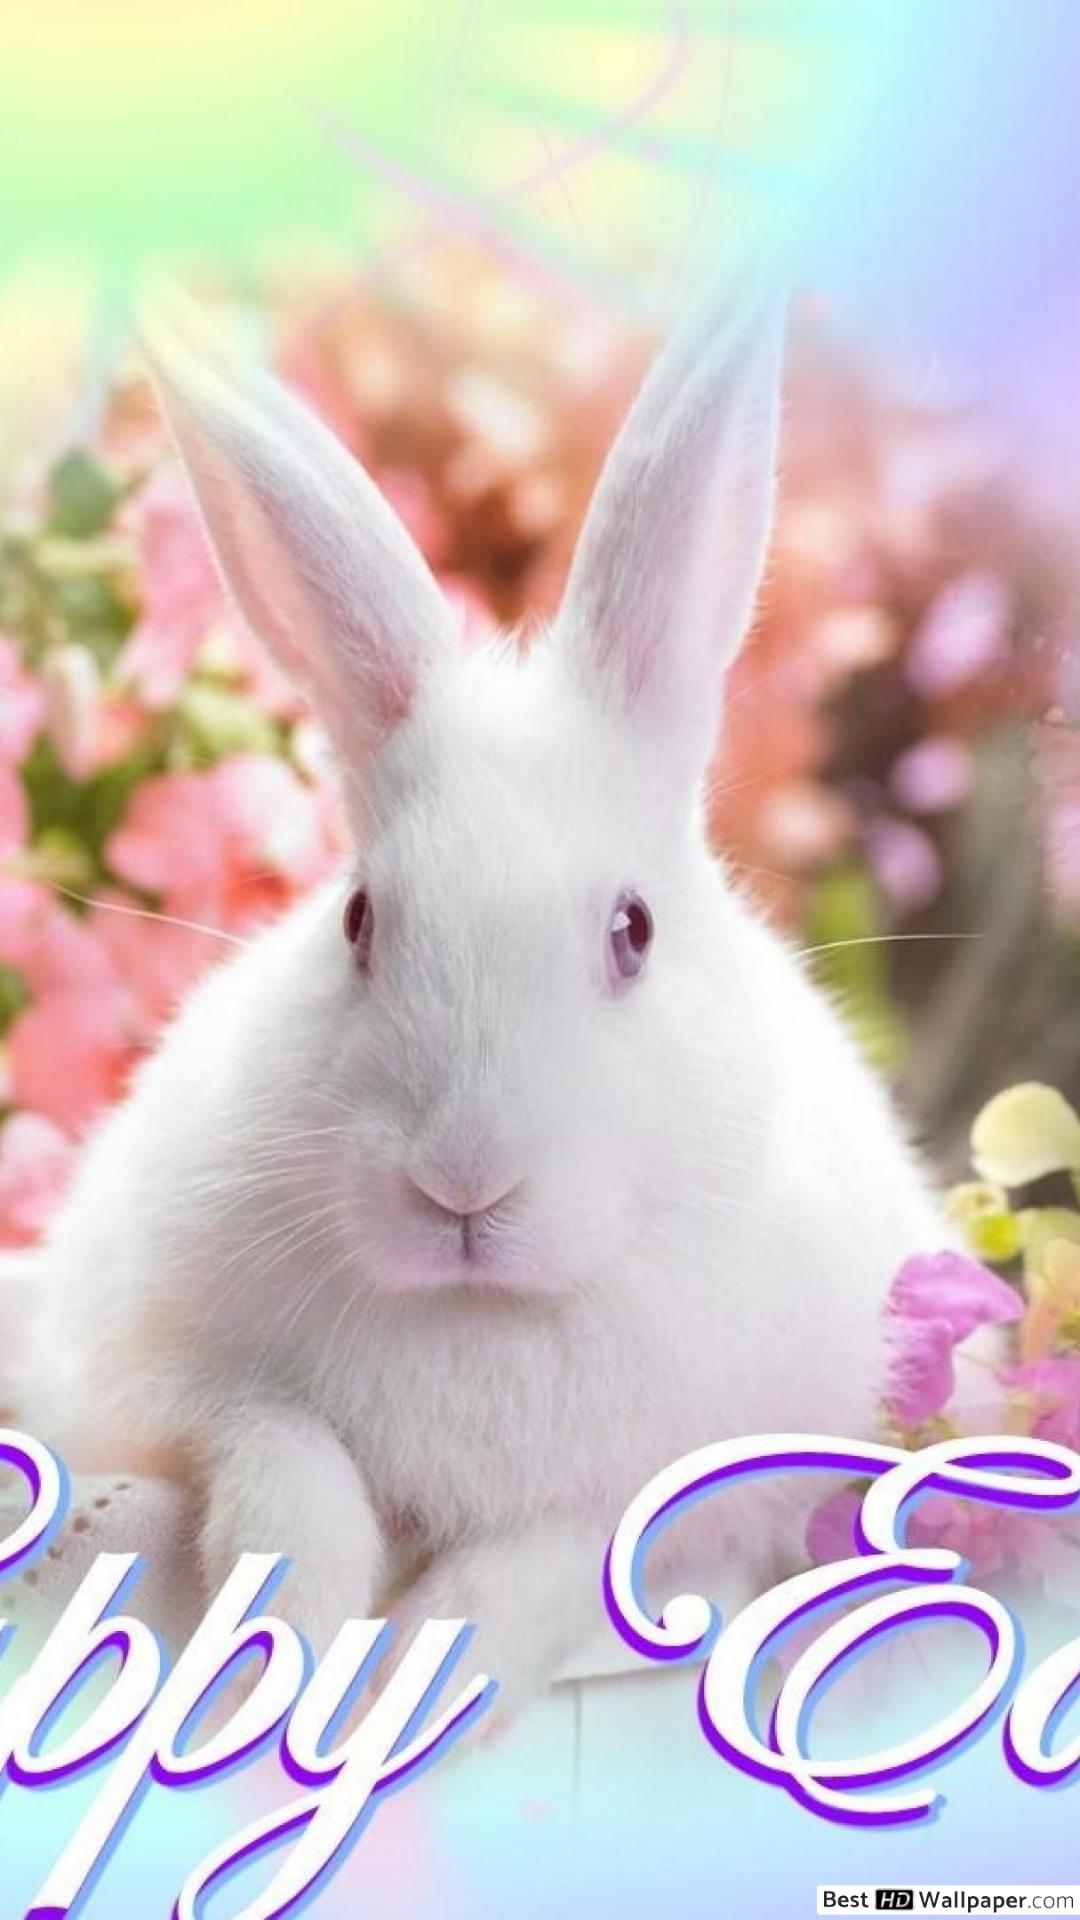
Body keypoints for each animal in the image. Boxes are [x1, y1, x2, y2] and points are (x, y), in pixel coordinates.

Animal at [18, 272, 951, 1713]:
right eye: (358, 920)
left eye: (632, 932)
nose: (463, 1184)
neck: (481, 1313)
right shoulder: (152, 1376)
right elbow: (280, 1453)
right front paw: (291, 1628)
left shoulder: (670, 1498)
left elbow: (538, 1571)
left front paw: (411, 1675)